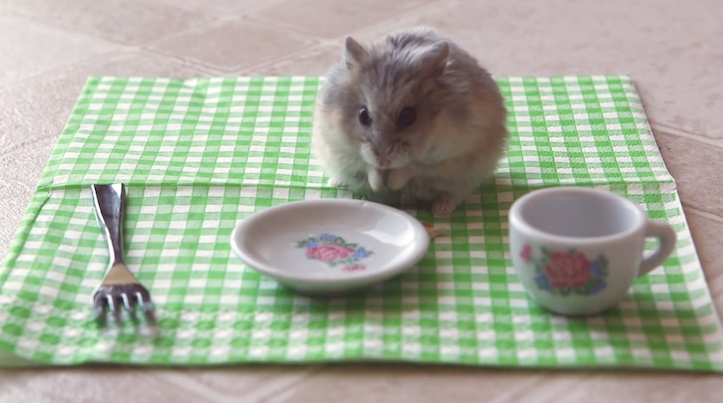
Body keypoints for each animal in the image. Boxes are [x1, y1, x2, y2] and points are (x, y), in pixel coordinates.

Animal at [311, 26, 508, 216]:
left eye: (408, 116)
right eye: (363, 115)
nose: (383, 161)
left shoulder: (450, 157)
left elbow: (410, 167)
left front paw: (392, 183)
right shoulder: (340, 147)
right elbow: (368, 167)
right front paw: (379, 183)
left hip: (466, 177)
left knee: (451, 195)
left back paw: (440, 211)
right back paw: (335, 183)